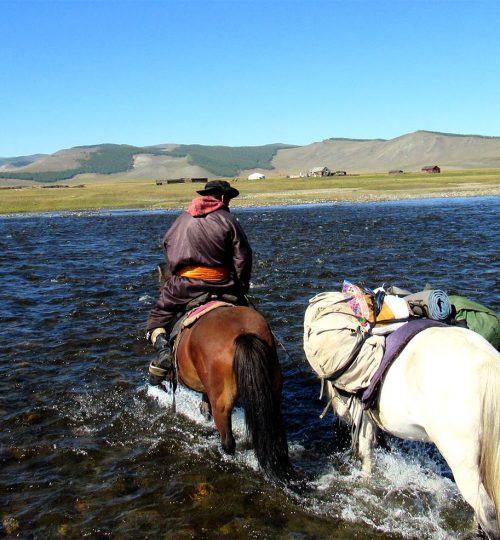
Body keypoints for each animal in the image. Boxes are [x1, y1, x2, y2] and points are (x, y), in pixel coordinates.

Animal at [304, 308, 500, 536]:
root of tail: (489, 370)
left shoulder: (363, 416)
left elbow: (366, 453)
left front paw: (365, 480)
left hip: (462, 461)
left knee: (486, 511)